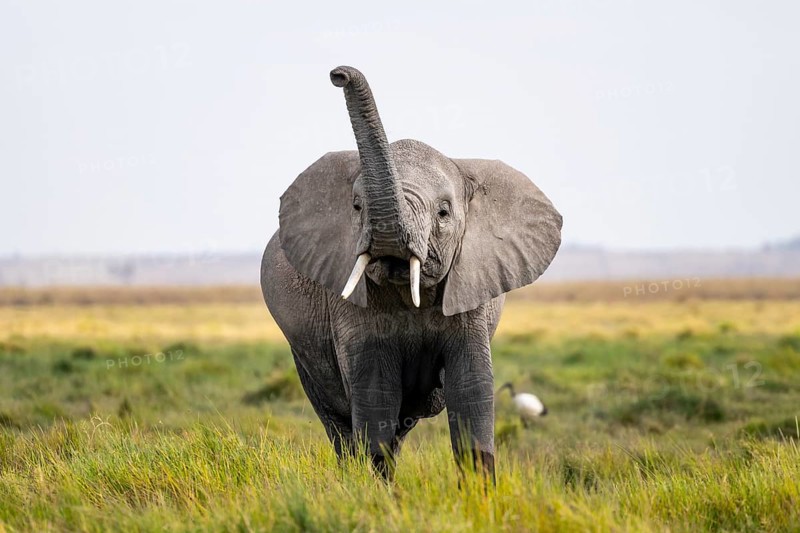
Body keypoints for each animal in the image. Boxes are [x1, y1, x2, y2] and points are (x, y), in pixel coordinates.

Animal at [260, 66, 562, 481]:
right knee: (339, 421)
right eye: (357, 207)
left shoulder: (471, 287)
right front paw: (373, 490)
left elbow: (471, 387)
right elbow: (375, 391)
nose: (338, 75)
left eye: (444, 213)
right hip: (303, 351)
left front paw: (479, 494)